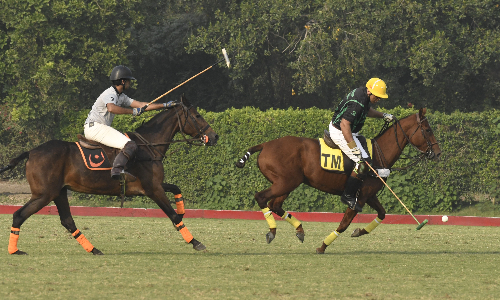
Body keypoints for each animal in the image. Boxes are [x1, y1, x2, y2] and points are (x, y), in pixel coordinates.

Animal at [0, 96, 218, 255]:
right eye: (197, 115)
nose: (214, 137)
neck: (149, 146)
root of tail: (31, 152)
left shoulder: (153, 185)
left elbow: (176, 189)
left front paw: (182, 210)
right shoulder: (153, 189)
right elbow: (172, 216)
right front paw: (196, 242)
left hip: (59, 192)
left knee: (68, 221)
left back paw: (93, 249)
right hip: (44, 194)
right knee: (19, 215)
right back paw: (14, 251)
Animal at [235, 108, 442, 253]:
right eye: (427, 129)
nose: (437, 153)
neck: (378, 154)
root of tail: (265, 145)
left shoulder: (369, 194)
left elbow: (382, 214)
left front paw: (359, 232)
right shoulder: (358, 198)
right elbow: (344, 224)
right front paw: (322, 246)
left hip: (288, 183)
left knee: (275, 205)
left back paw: (299, 230)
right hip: (285, 182)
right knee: (262, 198)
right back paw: (272, 231)